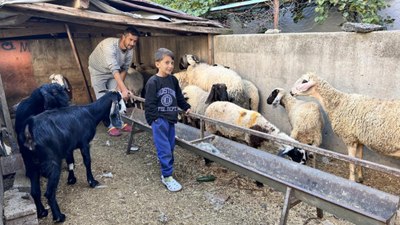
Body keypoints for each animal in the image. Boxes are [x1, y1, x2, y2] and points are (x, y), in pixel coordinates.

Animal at [21, 91, 123, 221]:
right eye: (119, 101)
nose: (125, 111)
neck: (91, 112)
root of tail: (29, 130)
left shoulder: (68, 147)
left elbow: (71, 161)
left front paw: (71, 179)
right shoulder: (84, 143)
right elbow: (87, 161)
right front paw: (92, 182)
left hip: (30, 164)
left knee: (35, 191)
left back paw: (42, 212)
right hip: (52, 163)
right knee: (49, 193)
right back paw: (59, 216)